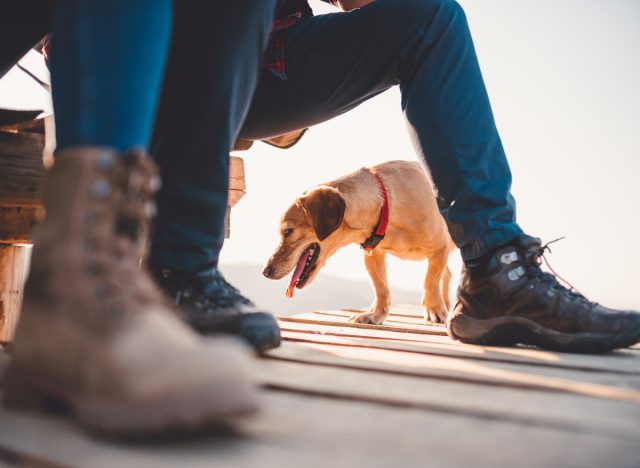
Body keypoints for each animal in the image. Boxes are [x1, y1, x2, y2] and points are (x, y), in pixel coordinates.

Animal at [262, 159, 456, 324]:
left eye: (288, 231)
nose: (266, 272)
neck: (386, 207)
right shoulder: (373, 255)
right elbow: (381, 288)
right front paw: (376, 315)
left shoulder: (439, 247)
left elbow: (429, 282)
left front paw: (434, 310)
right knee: (447, 274)